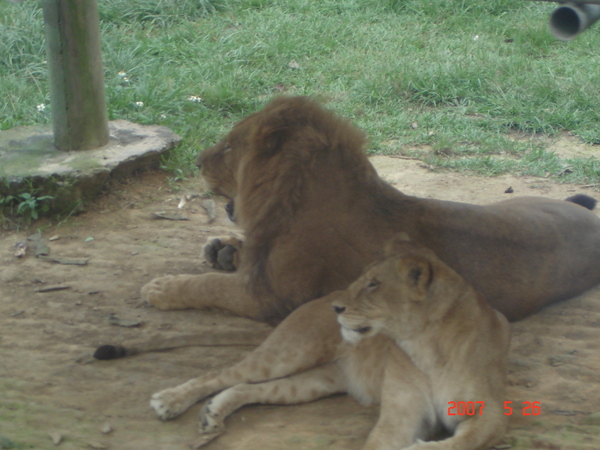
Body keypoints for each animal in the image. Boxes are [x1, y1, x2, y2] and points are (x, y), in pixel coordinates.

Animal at [152, 237, 508, 448]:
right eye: (362, 279)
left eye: (374, 284)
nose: (337, 309)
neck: (423, 346)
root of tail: (319, 297)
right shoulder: (402, 411)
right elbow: (382, 442)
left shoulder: (488, 411)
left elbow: (463, 442)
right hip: (289, 352)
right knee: (219, 374)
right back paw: (169, 400)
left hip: (313, 383)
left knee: (248, 387)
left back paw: (213, 413)